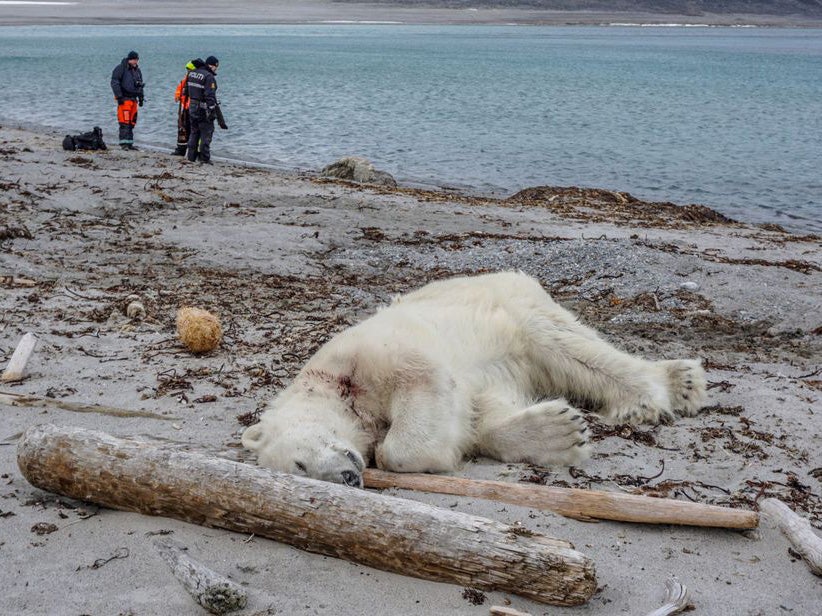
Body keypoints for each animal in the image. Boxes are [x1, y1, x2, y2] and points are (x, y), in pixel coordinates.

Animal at [243, 272, 708, 488]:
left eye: (299, 464)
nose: (348, 477)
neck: (334, 388)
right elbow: (481, 413)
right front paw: (558, 432)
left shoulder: (369, 354)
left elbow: (420, 390)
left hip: (513, 306)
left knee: (567, 346)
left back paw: (667, 388)